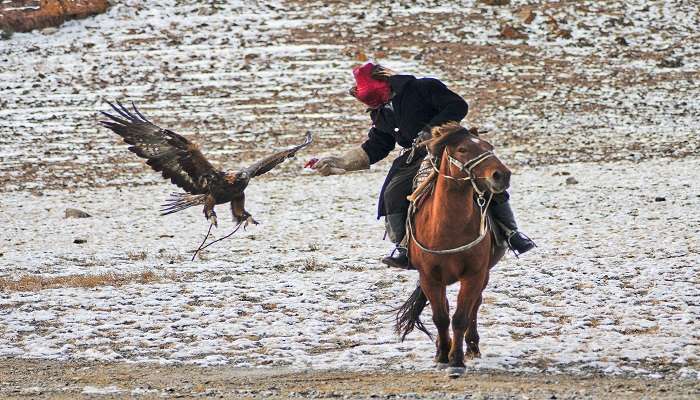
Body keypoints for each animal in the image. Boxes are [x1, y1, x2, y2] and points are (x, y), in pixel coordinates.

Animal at [396, 122, 512, 378]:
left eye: (489, 147)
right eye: (462, 149)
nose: (502, 175)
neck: (447, 228)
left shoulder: (474, 275)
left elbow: (460, 318)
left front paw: (456, 360)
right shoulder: (429, 277)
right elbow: (441, 317)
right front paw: (442, 356)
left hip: (483, 275)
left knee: (475, 305)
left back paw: (472, 347)